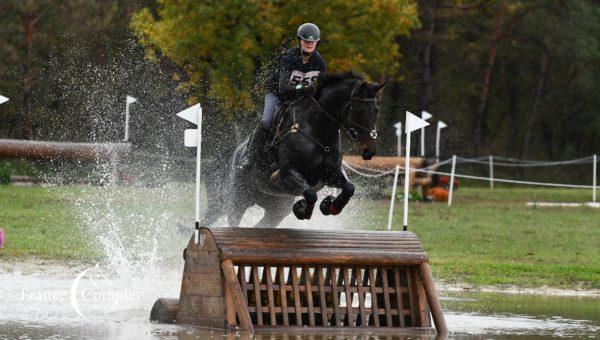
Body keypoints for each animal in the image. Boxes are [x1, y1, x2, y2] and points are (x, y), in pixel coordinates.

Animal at [204, 73, 386, 228]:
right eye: (359, 111)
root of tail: (235, 152)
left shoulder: (330, 174)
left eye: (377, 110)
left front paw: (329, 206)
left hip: (276, 208)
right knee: (230, 220)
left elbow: (349, 188)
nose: (369, 150)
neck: (318, 132)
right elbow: (311, 194)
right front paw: (302, 209)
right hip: (238, 199)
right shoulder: (287, 174)